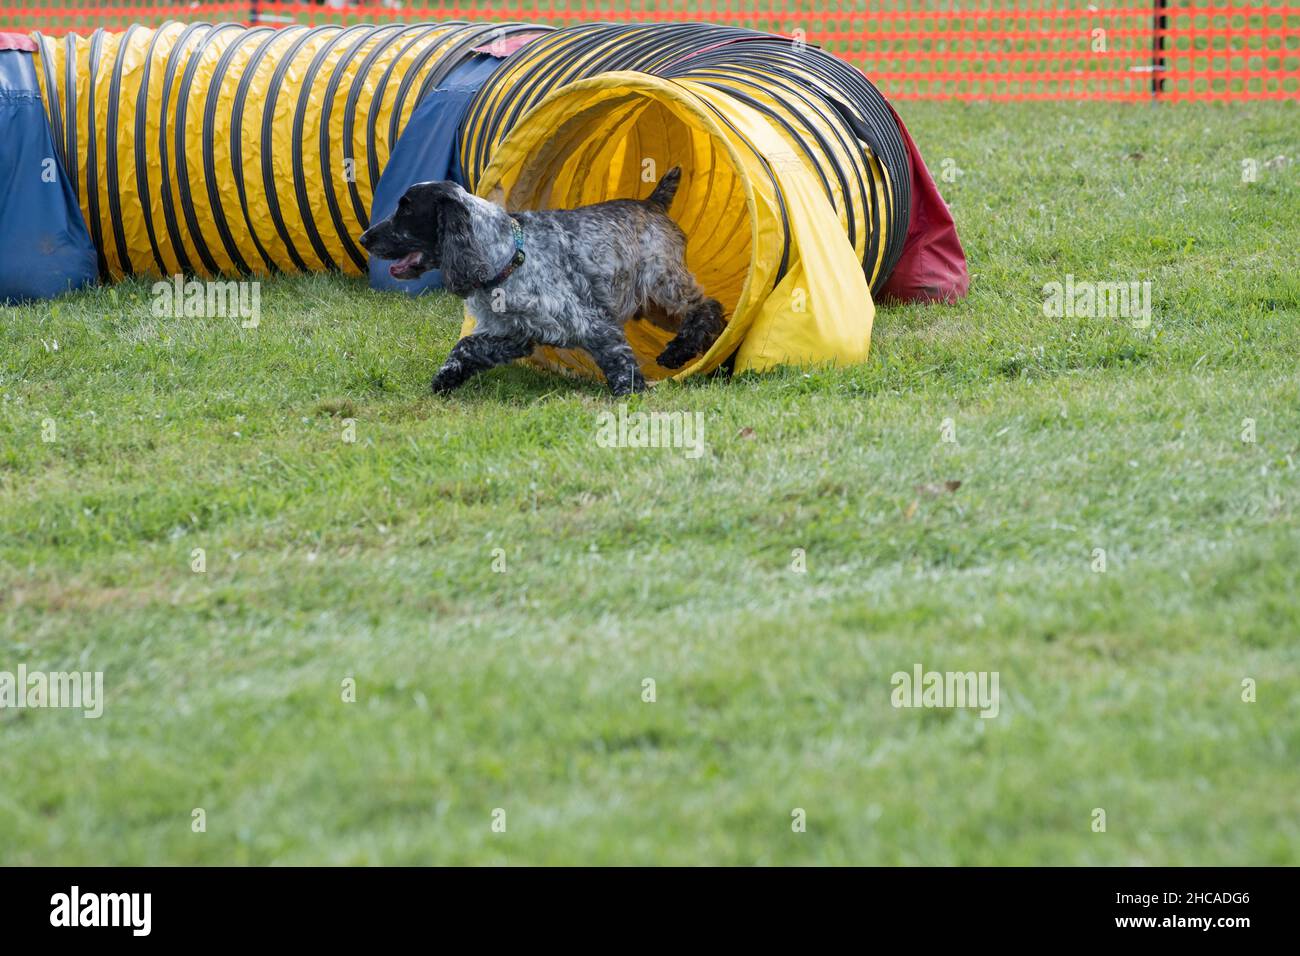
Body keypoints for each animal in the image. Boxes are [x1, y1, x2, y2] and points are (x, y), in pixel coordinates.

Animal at [356, 167, 722, 395]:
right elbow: (466, 346)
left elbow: (619, 361)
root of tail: (652, 202)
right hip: (652, 306)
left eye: (406, 210)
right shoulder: (514, 334)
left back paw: (677, 354)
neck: (507, 254)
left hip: (664, 285)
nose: (364, 238)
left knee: (707, 307)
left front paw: (632, 394)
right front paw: (445, 379)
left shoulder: (593, 324)